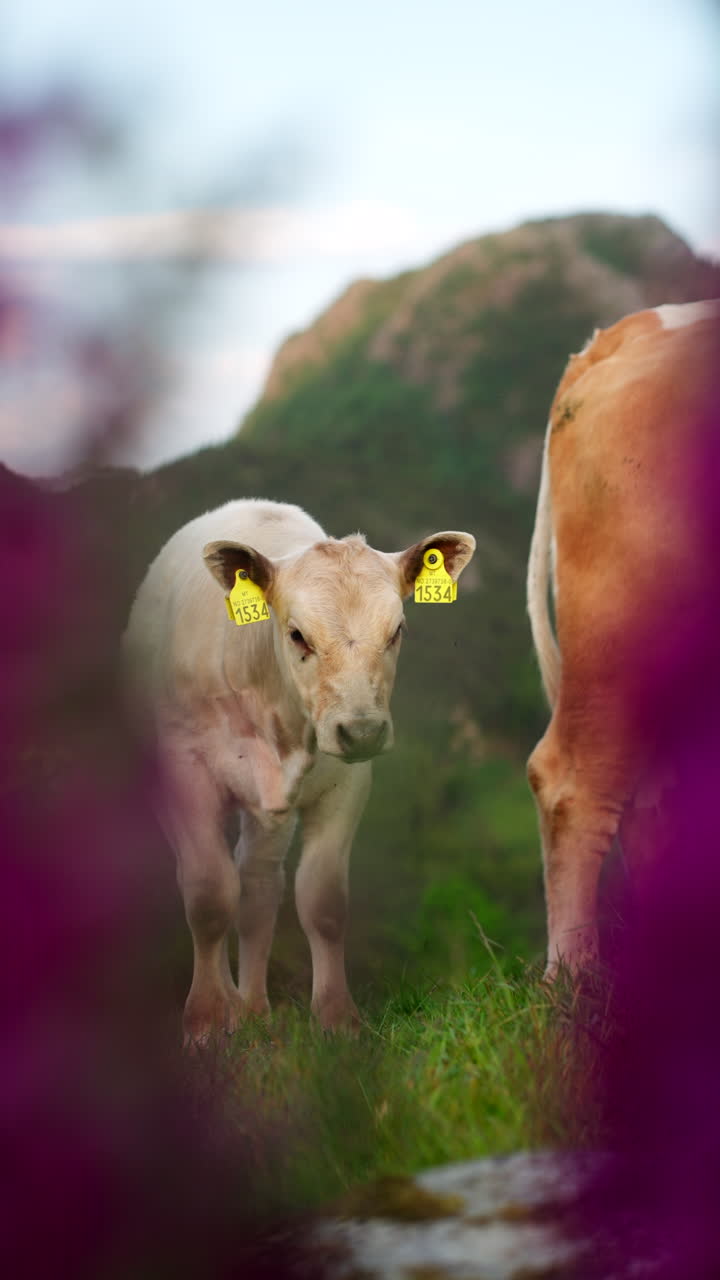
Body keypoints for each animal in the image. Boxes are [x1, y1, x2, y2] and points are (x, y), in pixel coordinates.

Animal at [125, 499, 475, 1043]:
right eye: (297, 634)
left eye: (396, 631)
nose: (363, 730)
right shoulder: (187, 772)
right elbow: (208, 894)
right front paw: (206, 1020)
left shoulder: (345, 783)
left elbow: (322, 901)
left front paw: (336, 1020)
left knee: (258, 887)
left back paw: (252, 1008)